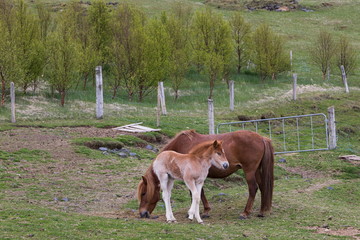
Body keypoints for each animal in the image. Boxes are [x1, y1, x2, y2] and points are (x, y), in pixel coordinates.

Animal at [137, 129, 272, 219]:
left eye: (144, 193)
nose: (142, 213)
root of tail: (261, 138)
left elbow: (196, 193)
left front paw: (200, 212)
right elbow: (198, 193)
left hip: (249, 171)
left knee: (253, 188)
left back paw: (245, 213)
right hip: (256, 171)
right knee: (263, 187)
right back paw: (262, 211)